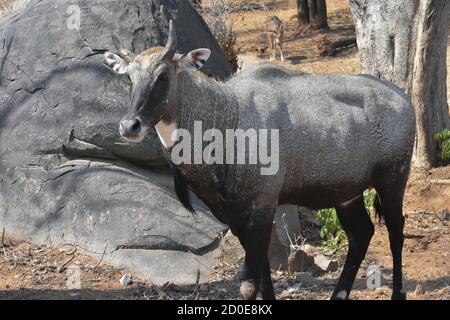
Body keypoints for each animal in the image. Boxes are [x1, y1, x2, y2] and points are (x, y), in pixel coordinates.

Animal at [102, 20, 414, 300]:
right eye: (130, 78)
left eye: (163, 76)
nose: (129, 126)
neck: (228, 116)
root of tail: (404, 98)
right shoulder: (237, 217)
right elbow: (263, 277)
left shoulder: (262, 207)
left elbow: (249, 284)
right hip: (347, 194)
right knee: (362, 233)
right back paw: (338, 295)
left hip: (392, 179)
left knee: (396, 230)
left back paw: (398, 293)